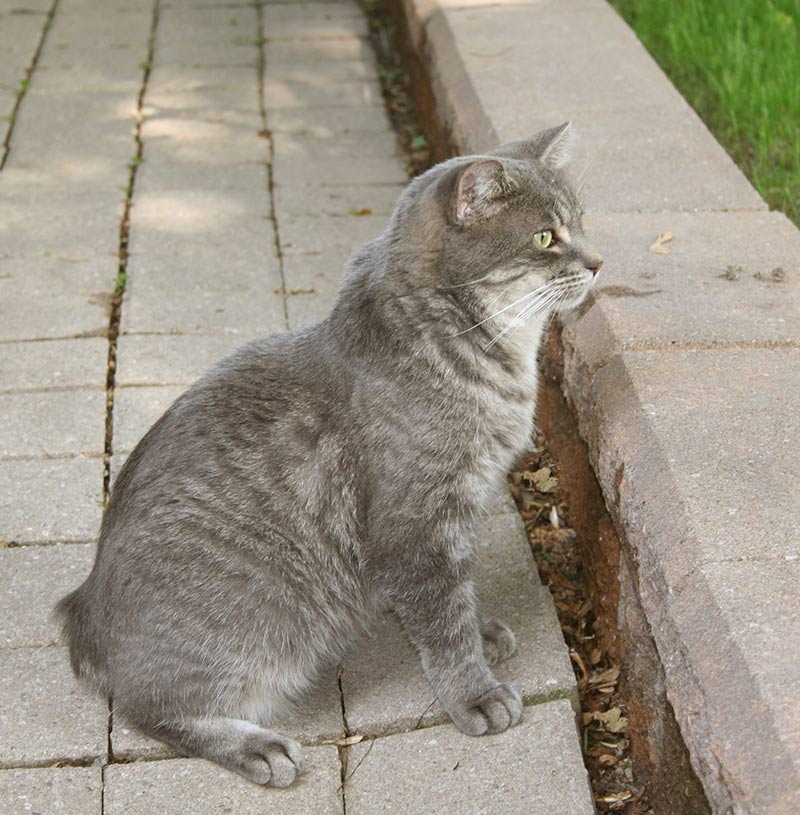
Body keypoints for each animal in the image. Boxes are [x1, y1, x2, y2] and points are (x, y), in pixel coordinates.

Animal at [56, 124, 600, 788]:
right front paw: (475, 692)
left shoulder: (457, 514)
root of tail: (83, 615)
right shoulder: (415, 530)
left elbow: (459, 597)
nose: (598, 262)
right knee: (152, 709)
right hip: (252, 638)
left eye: (580, 222)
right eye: (546, 236)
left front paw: (480, 629)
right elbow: (442, 623)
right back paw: (257, 747)